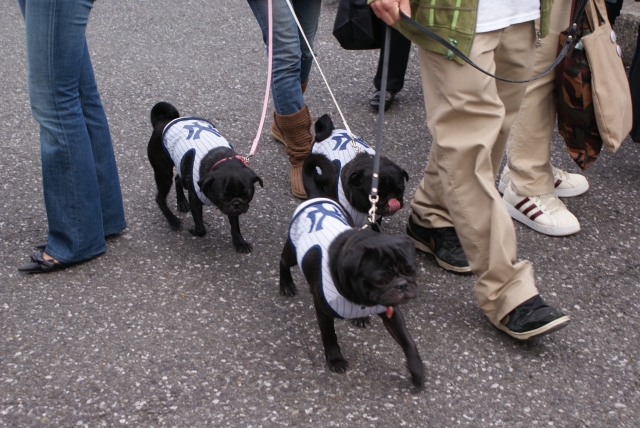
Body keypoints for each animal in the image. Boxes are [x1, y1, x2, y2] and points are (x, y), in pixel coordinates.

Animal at [148, 101, 262, 252]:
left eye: (247, 196)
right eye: (223, 198)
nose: (237, 203)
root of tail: (164, 122)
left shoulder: (232, 210)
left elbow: (235, 226)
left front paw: (239, 242)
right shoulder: (195, 200)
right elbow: (201, 229)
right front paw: (194, 231)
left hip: (182, 168)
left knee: (178, 179)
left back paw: (182, 202)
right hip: (163, 174)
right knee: (160, 198)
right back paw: (173, 220)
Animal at [278, 155, 424, 388]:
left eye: (410, 271)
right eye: (380, 279)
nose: (402, 285)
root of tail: (318, 196)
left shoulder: (392, 314)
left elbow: (407, 340)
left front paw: (416, 369)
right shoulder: (324, 313)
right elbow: (330, 337)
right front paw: (335, 359)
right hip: (293, 252)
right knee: (283, 262)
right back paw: (286, 284)